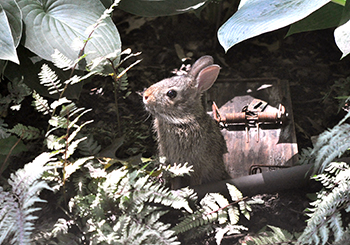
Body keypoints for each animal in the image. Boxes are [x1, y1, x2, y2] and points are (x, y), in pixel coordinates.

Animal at [142, 55, 230, 188]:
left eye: (171, 93)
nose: (145, 96)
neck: (182, 120)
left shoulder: (197, 165)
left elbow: (195, 181)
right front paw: (174, 189)